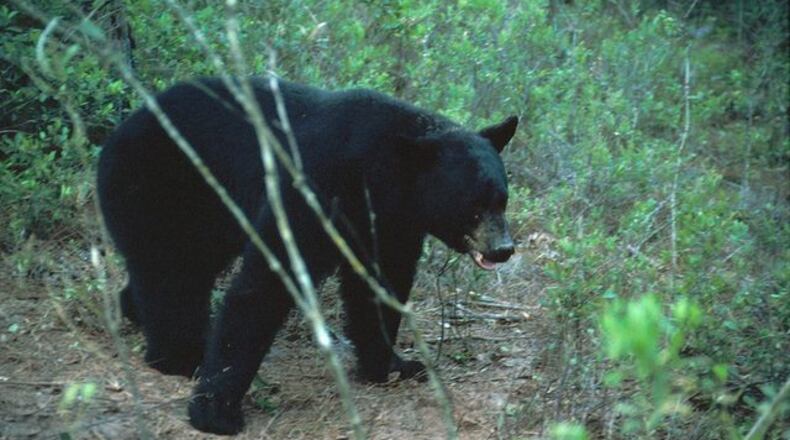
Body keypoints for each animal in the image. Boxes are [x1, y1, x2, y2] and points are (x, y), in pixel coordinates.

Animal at [97, 76, 517, 435]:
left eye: (502, 199)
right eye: (474, 207)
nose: (503, 249)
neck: (377, 174)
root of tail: (118, 130)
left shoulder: (388, 224)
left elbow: (380, 285)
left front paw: (394, 365)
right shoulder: (314, 186)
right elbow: (265, 283)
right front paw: (216, 410)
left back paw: (136, 312)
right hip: (160, 185)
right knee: (171, 272)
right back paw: (180, 355)